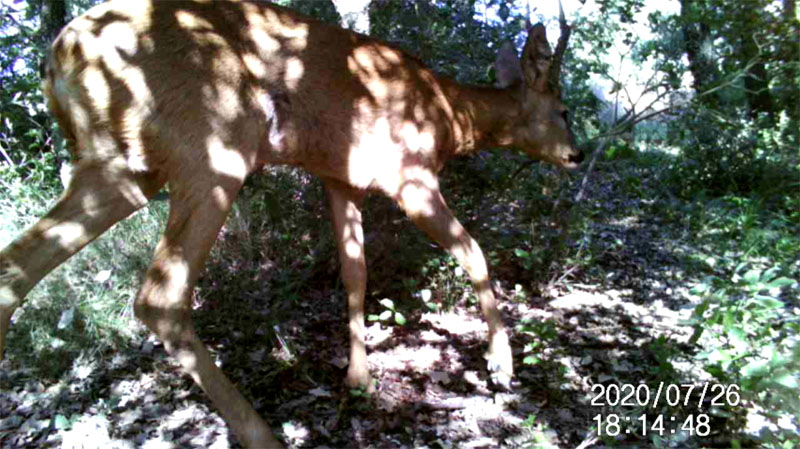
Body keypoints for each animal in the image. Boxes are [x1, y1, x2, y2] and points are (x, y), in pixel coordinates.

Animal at [0, 0, 580, 444]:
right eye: (565, 110)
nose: (575, 155)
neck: (448, 115)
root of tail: (60, 53)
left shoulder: (340, 178)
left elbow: (355, 274)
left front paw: (358, 378)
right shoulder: (410, 175)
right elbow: (473, 252)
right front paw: (501, 367)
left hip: (118, 167)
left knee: (15, 271)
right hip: (212, 148)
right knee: (160, 297)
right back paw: (262, 434)